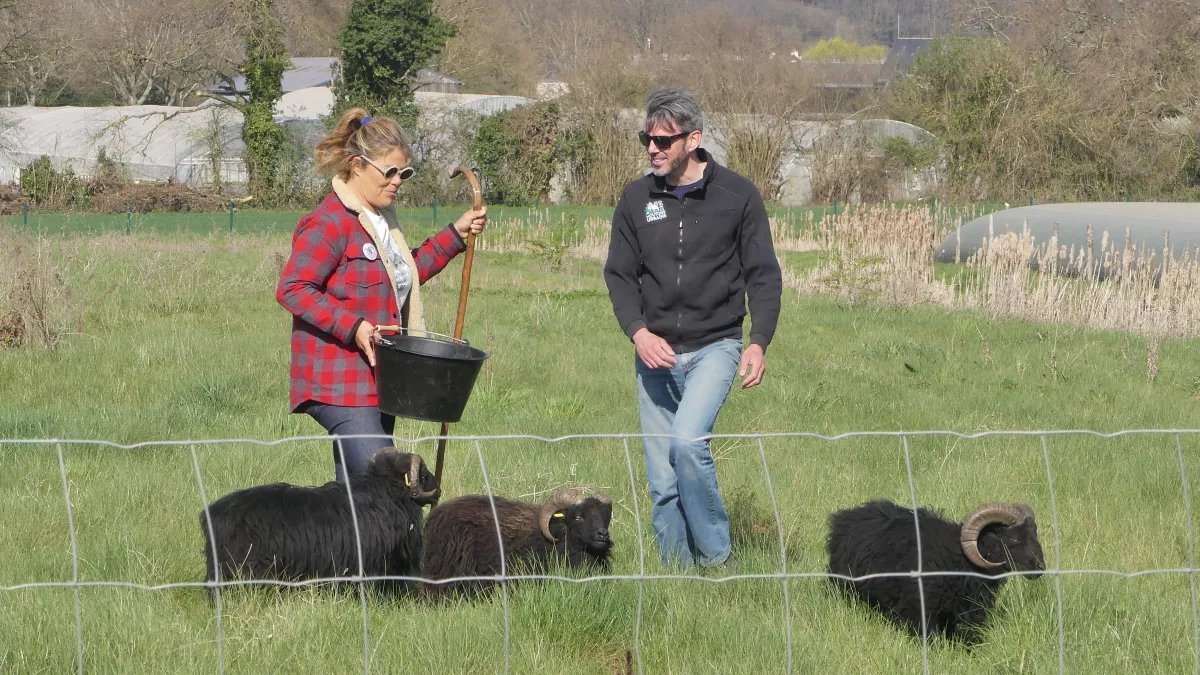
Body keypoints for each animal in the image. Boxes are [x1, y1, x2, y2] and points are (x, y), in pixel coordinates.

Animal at [825, 499, 1041, 638]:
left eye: (1034, 533)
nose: (1040, 567)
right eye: (1013, 538)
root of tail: (847, 516)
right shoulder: (921, 611)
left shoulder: (972, 613)